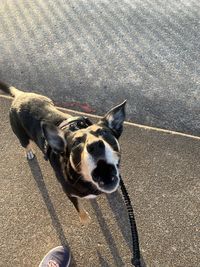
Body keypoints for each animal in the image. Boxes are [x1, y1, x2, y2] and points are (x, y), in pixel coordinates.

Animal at [0, 81, 126, 224]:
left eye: (103, 132)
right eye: (76, 143)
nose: (95, 146)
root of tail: (20, 95)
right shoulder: (69, 193)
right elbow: (79, 207)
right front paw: (84, 219)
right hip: (21, 136)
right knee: (25, 144)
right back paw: (29, 152)